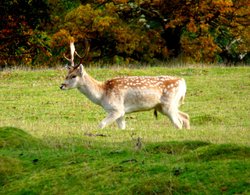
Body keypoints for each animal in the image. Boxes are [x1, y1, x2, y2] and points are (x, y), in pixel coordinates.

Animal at [60, 41, 189, 129]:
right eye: (66, 74)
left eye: (74, 76)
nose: (62, 85)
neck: (102, 95)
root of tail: (182, 82)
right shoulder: (122, 113)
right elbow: (122, 128)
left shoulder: (117, 109)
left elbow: (101, 125)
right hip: (163, 106)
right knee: (185, 116)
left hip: (168, 104)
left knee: (178, 122)